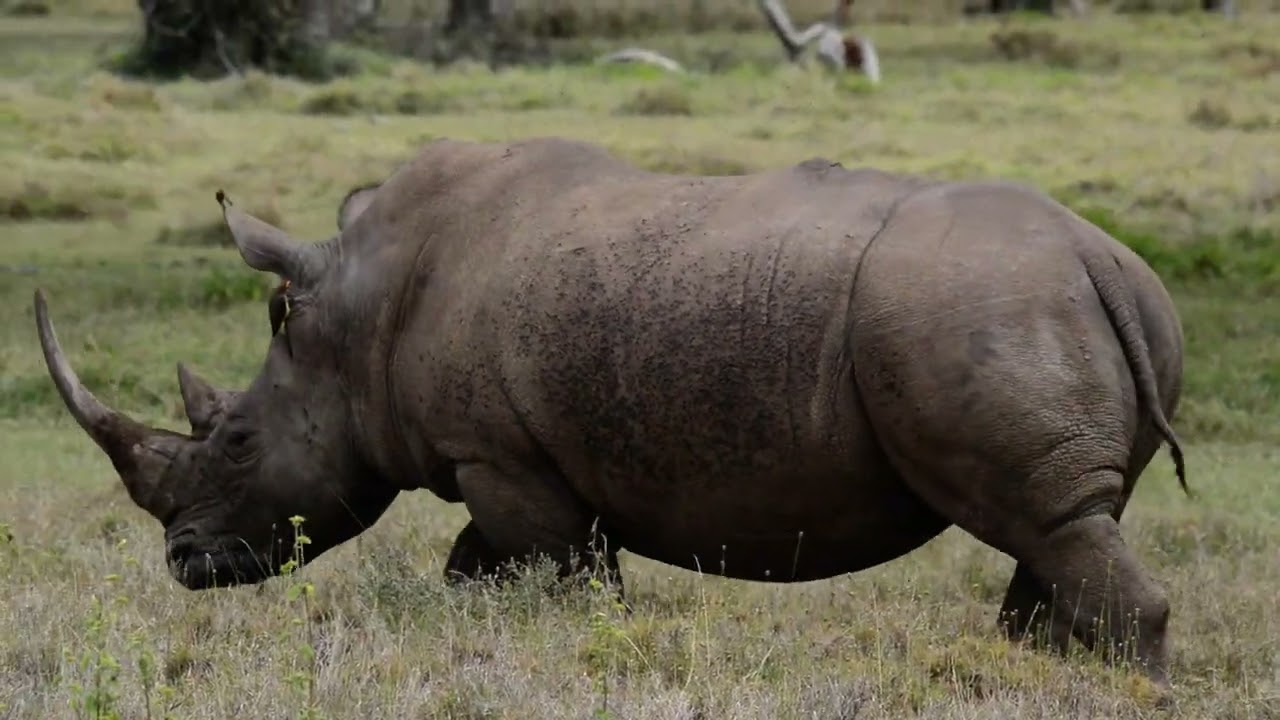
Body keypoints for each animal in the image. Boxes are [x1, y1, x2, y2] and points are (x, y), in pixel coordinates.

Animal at [34, 136, 1187, 689]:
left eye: (234, 441)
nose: (183, 562)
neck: (357, 319)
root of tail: (1101, 261)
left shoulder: (498, 454)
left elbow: (561, 578)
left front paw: (585, 651)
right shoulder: (516, 460)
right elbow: (482, 568)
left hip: (981, 306)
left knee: (1047, 523)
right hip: (1051, 306)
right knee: (1059, 525)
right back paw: (1035, 668)